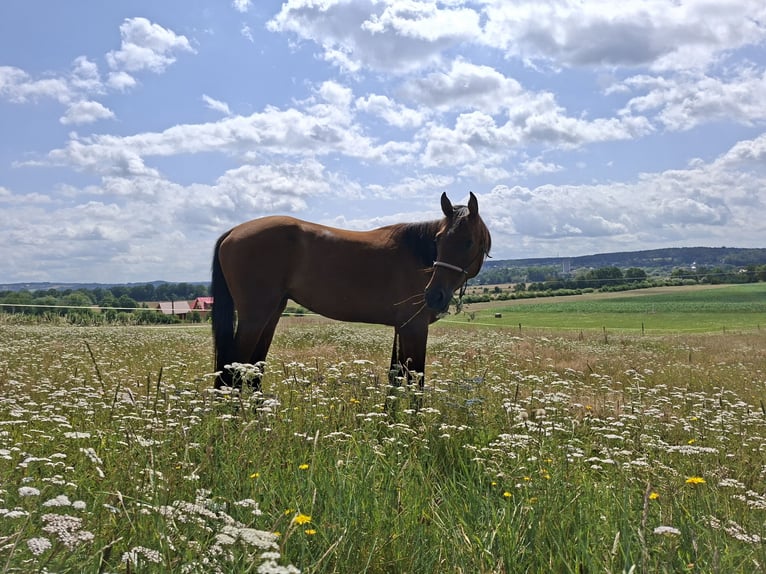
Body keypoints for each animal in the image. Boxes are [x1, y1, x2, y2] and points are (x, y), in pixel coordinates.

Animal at [211, 192, 491, 390]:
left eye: (468, 242)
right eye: (438, 239)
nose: (434, 296)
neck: (418, 254)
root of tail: (233, 231)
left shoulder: (401, 328)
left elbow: (395, 378)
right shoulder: (414, 328)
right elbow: (415, 382)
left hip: (272, 314)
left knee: (254, 371)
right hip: (254, 318)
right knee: (233, 371)